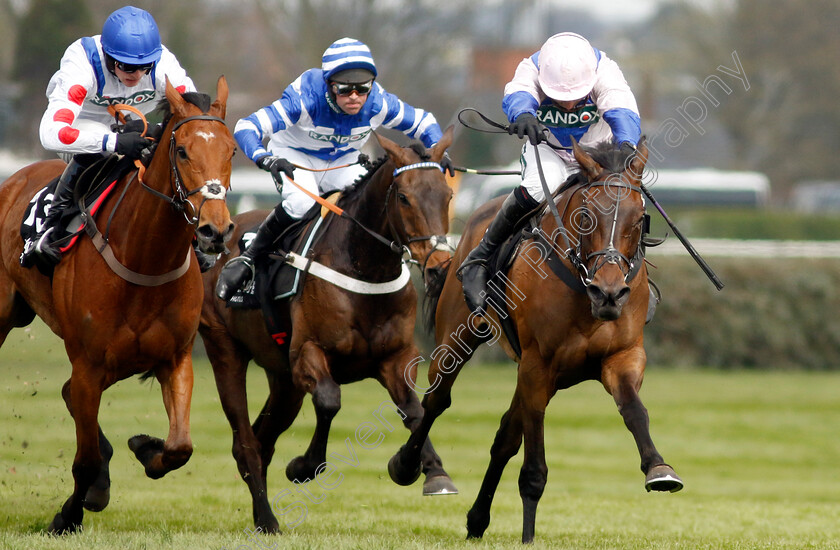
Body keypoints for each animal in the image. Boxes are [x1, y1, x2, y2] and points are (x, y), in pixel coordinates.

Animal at [0, 77, 235, 536]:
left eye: (232, 150)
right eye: (183, 151)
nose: (215, 231)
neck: (145, 258)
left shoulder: (174, 358)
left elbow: (180, 446)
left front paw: (145, 447)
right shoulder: (89, 365)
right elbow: (85, 459)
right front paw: (68, 515)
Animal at [198, 126, 456, 536]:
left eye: (447, 195)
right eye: (404, 197)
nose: (438, 267)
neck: (365, 267)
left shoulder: (395, 357)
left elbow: (413, 409)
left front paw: (424, 470)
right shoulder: (308, 352)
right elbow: (330, 400)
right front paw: (304, 467)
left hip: (283, 380)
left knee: (262, 438)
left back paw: (261, 517)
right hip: (225, 349)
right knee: (246, 442)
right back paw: (268, 519)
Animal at [388, 137, 684, 544]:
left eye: (639, 219)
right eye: (586, 216)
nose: (609, 294)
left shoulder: (622, 356)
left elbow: (633, 409)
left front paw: (658, 468)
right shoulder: (536, 365)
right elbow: (533, 467)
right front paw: (528, 536)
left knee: (504, 438)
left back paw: (477, 519)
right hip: (458, 338)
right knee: (436, 401)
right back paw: (407, 465)